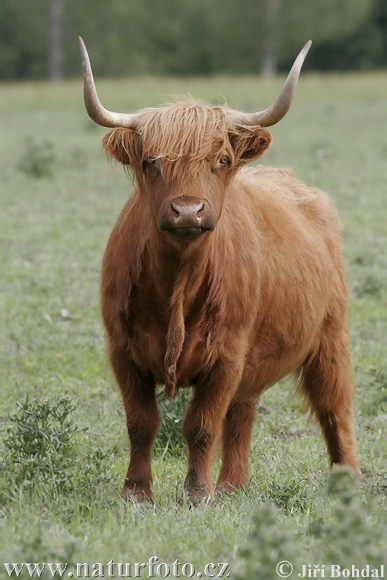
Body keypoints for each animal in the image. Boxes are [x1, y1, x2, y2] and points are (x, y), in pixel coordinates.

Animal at [79, 39, 360, 502]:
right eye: (151, 161)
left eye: (223, 159)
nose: (188, 210)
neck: (177, 285)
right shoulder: (122, 350)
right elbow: (141, 423)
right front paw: (136, 492)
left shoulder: (227, 354)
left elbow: (201, 425)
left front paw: (197, 493)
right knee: (244, 412)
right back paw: (232, 484)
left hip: (330, 336)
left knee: (334, 407)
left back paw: (346, 481)